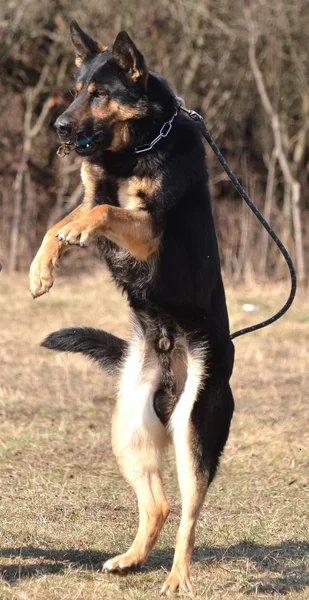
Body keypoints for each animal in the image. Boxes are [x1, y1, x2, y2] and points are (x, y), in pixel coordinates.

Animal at [30, 21, 235, 596]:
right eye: (76, 89)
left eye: (100, 94)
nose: (58, 125)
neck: (137, 145)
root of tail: (171, 376)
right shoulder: (91, 191)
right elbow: (64, 220)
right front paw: (39, 269)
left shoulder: (148, 230)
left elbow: (102, 212)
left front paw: (77, 234)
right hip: (127, 428)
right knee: (160, 505)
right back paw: (131, 560)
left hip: (192, 432)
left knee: (189, 513)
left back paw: (177, 578)